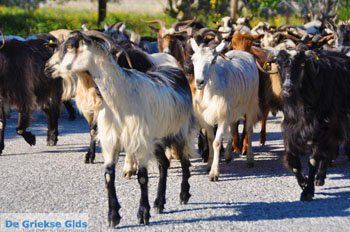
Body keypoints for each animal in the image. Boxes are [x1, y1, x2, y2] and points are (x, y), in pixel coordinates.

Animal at [45, 30, 197, 227]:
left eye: (71, 46)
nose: (47, 68)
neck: (120, 98)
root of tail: (175, 69)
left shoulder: (140, 142)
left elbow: (142, 177)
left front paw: (143, 213)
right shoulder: (111, 142)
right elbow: (109, 177)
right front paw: (113, 216)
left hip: (181, 131)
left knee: (185, 162)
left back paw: (184, 195)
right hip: (156, 139)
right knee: (163, 164)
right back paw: (159, 203)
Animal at [190, 38, 262, 181]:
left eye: (213, 61)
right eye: (193, 60)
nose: (199, 82)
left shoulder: (222, 116)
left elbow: (217, 143)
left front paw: (214, 173)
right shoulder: (207, 118)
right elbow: (210, 140)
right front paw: (209, 165)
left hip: (251, 104)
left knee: (249, 130)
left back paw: (250, 159)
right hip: (233, 110)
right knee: (234, 127)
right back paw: (228, 155)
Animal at [274, 49, 350, 201]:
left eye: (302, 65)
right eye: (279, 65)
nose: (287, 90)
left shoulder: (322, 127)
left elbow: (314, 159)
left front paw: (308, 191)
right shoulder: (290, 128)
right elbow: (292, 158)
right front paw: (303, 182)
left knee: (328, 151)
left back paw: (320, 177)